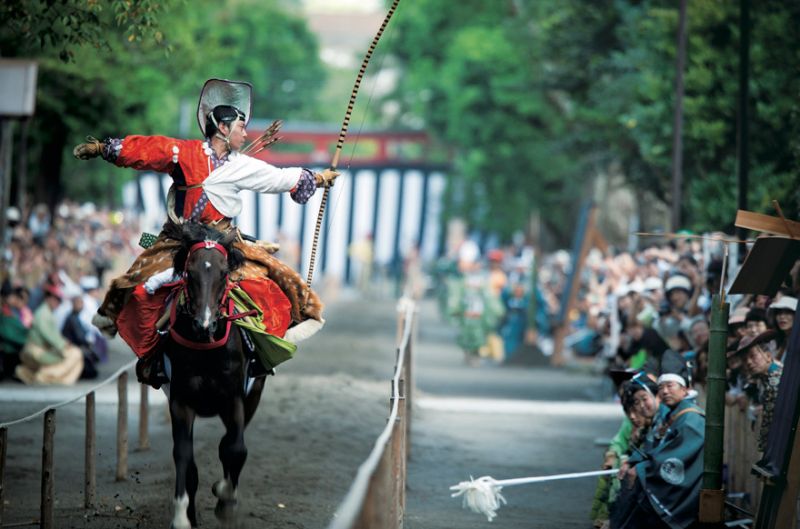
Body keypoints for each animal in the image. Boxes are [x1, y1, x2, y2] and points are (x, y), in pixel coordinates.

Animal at [162, 223, 266, 528]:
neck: (206, 347)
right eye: (190, 271)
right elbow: (184, 456)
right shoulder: (181, 401)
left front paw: (225, 499)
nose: (204, 323)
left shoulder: (235, 398)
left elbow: (235, 448)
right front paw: (182, 517)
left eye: (223, 272)